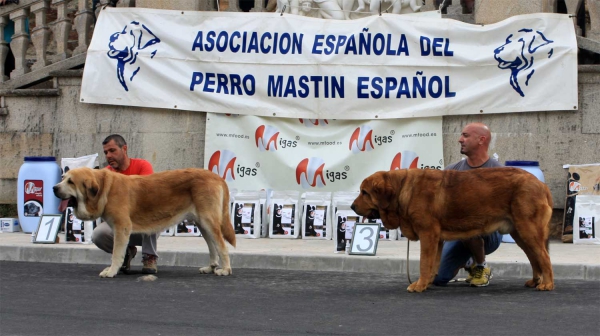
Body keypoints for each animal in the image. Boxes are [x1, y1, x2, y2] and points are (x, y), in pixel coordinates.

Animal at [53, 167, 237, 276]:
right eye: (62, 177)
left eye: (70, 182)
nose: (54, 188)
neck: (105, 188)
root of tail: (216, 176)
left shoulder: (122, 227)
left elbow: (116, 253)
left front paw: (111, 271)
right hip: (202, 224)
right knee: (213, 246)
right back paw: (211, 267)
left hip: (208, 221)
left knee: (222, 246)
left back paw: (225, 269)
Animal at [352, 169, 552, 292]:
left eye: (364, 192)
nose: (352, 207)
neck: (402, 190)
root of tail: (542, 184)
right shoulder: (436, 239)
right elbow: (432, 264)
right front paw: (427, 283)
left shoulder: (428, 234)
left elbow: (424, 263)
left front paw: (418, 285)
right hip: (520, 233)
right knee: (534, 257)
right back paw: (535, 281)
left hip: (528, 229)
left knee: (544, 256)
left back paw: (547, 284)